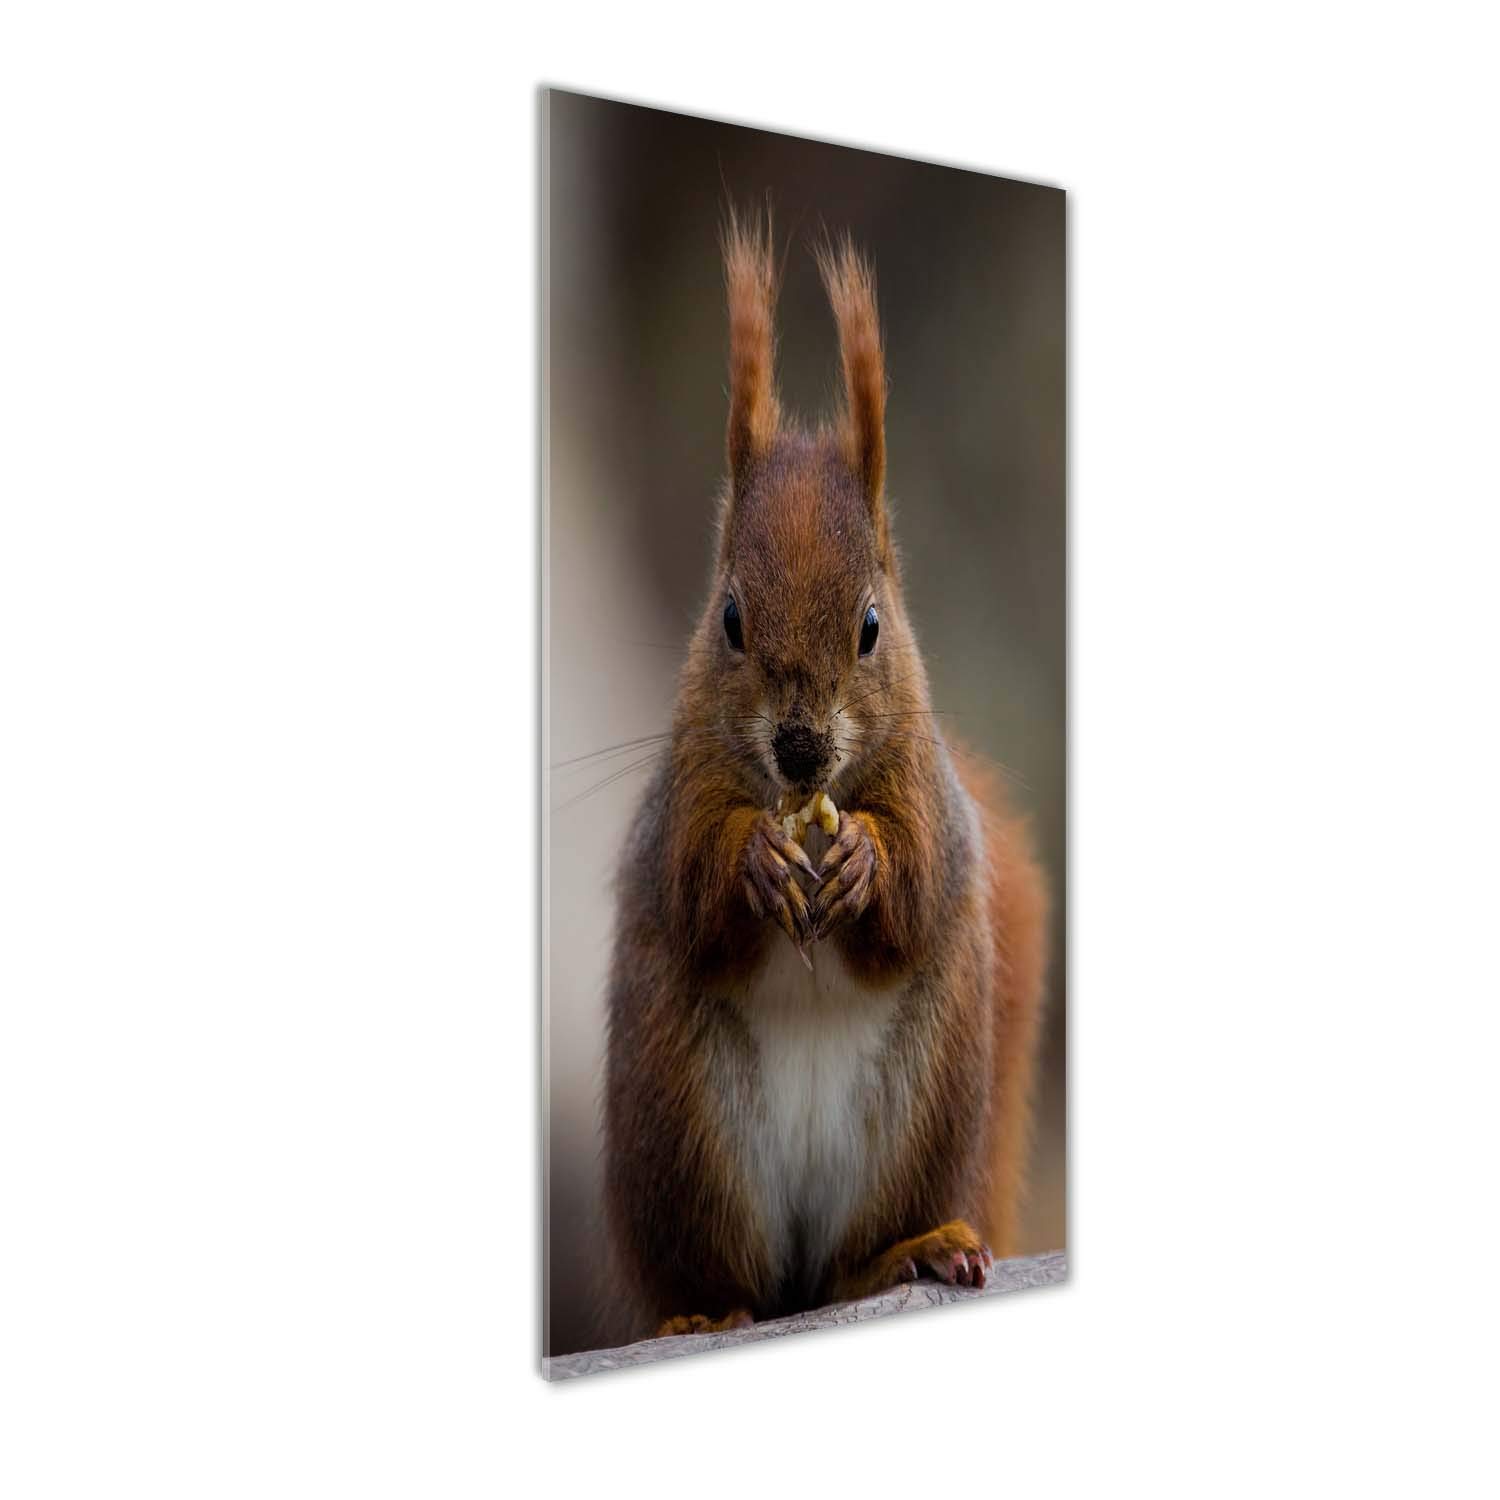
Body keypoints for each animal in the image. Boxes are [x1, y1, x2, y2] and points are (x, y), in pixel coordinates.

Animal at [602, 211, 1050, 1340]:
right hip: (687, 1127)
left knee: (845, 1268)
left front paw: (864, 864)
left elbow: (920, 877)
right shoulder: (676, 800)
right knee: (737, 1282)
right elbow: (692, 882)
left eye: (872, 626)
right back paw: (704, 1317)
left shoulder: (931, 794)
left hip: (924, 1104)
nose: (801, 749)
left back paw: (905, 1253)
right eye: (727, 618)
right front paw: (755, 858)